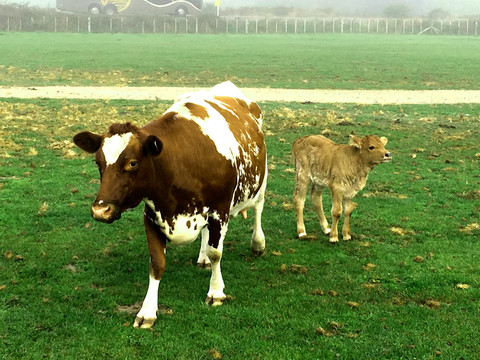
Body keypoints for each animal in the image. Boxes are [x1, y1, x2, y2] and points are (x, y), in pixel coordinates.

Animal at [73, 81, 268, 330]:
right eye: (98, 162)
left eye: (132, 163)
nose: (100, 210)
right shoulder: (152, 216)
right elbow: (157, 263)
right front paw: (147, 311)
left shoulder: (219, 211)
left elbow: (217, 253)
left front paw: (216, 292)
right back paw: (202, 257)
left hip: (260, 181)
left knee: (258, 209)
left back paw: (257, 244)